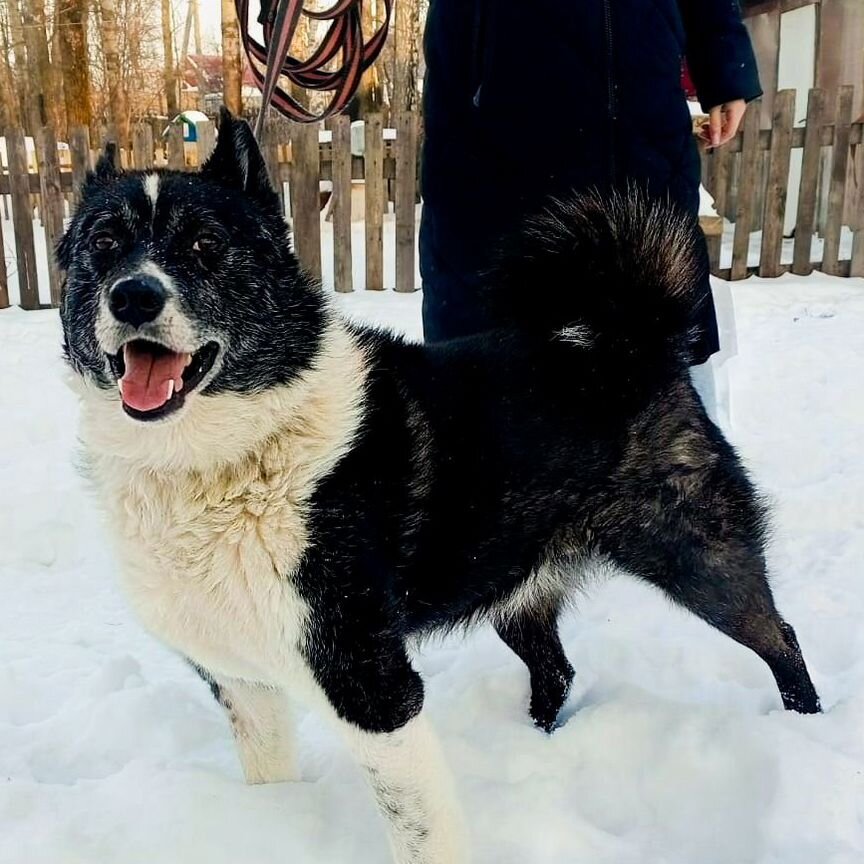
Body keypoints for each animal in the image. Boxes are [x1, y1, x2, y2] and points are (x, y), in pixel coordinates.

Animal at [59, 115, 816, 864]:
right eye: (103, 244)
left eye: (206, 246)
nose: (133, 295)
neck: (226, 458)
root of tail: (627, 339)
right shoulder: (243, 683)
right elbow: (270, 776)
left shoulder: (372, 685)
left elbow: (420, 828)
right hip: (509, 581)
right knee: (557, 671)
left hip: (698, 557)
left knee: (779, 637)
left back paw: (805, 723)